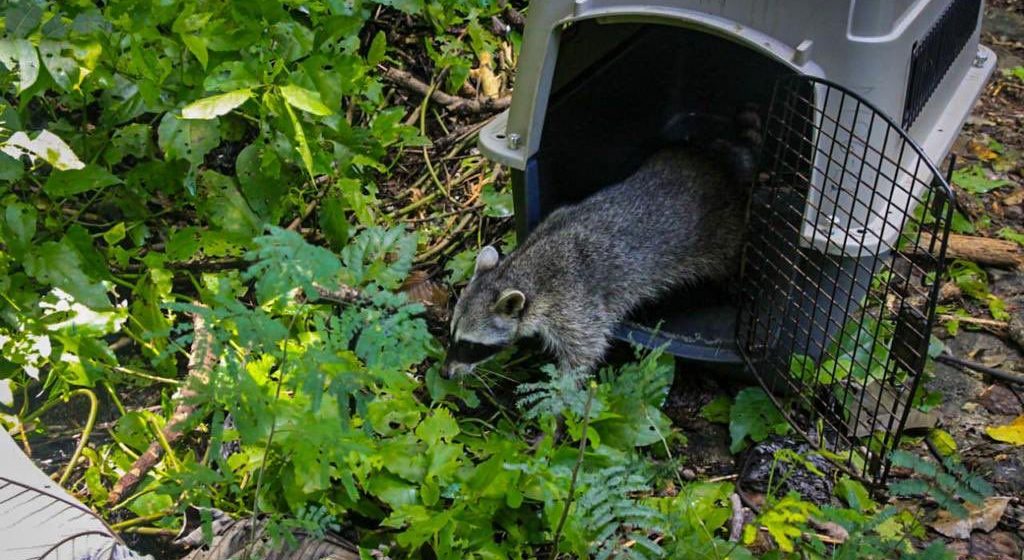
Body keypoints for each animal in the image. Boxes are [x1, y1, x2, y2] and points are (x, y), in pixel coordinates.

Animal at [442, 111, 761, 378]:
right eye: (452, 334)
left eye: (470, 346)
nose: (445, 373)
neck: (520, 268)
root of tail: (718, 164)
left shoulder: (573, 305)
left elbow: (585, 351)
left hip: (725, 234)